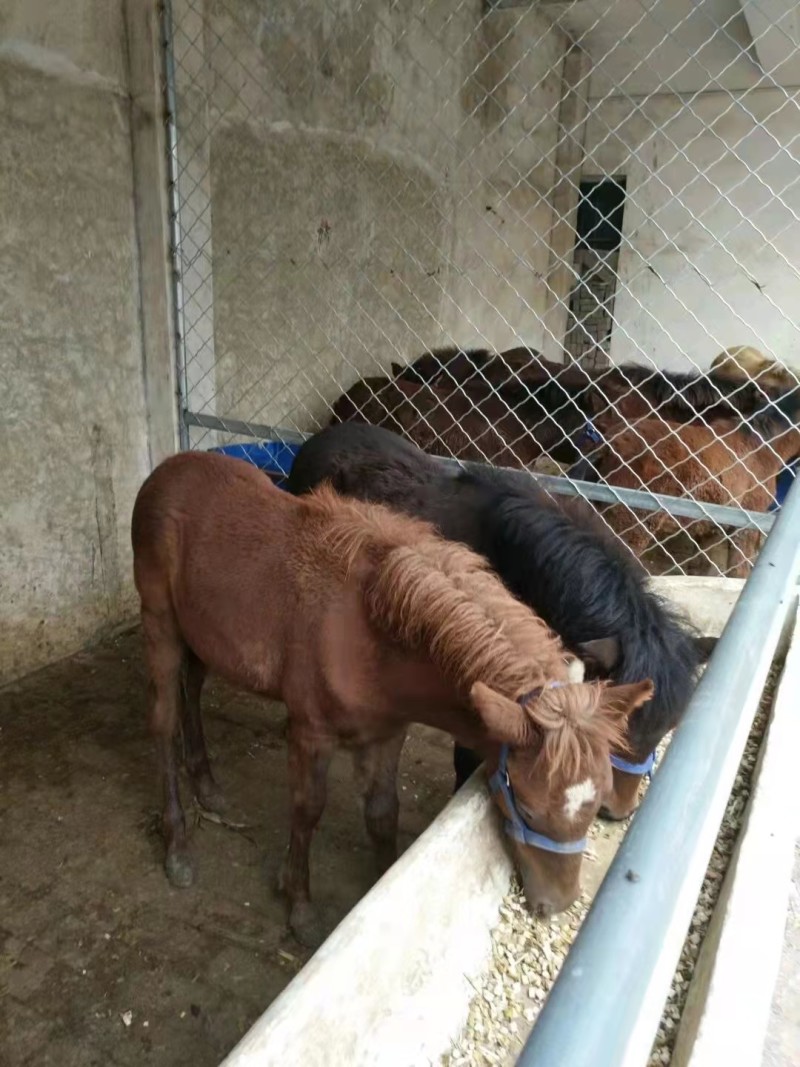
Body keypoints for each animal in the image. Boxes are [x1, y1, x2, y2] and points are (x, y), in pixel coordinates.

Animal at [132, 452, 652, 944]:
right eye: (525, 807)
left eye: (595, 803)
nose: (557, 904)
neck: (370, 633)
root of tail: (163, 473)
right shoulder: (311, 734)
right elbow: (307, 811)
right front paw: (299, 905)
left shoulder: (387, 734)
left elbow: (383, 813)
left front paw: (380, 882)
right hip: (161, 628)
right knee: (163, 722)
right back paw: (177, 845)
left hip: (201, 636)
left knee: (193, 692)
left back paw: (207, 785)